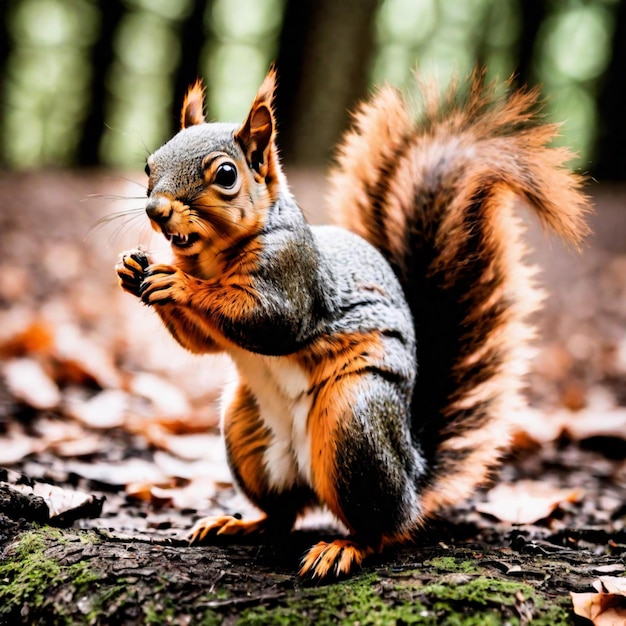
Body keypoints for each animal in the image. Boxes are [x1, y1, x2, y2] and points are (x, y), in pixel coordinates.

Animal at [116, 66, 588, 576]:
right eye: (151, 164)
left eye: (226, 174)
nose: (156, 210)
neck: (212, 258)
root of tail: (413, 475)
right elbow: (201, 342)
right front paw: (133, 270)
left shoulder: (294, 274)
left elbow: (272, 321)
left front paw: (179, 283)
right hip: (247, 431)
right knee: (282, 514)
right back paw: (241, 525)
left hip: (353, 423)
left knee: (384, 527)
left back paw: (345, 547)